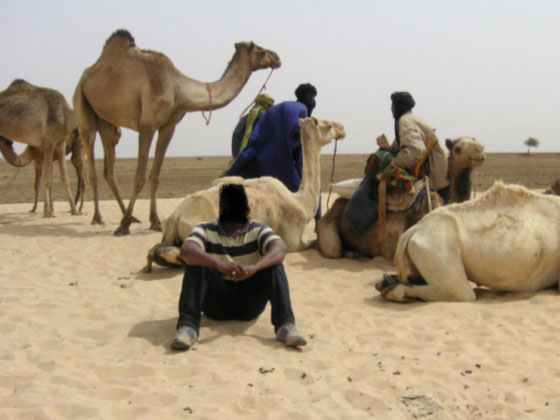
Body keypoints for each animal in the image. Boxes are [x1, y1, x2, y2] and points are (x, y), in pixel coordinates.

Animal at [0, 79, 80, 217]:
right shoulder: (49, 140)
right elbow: (46, 179)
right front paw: (47, 212)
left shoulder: (60, 142)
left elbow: (65, 178)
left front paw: (74, 210)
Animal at [74, 28, 282, 236]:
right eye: (262, 51)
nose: (277, 58)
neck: (178, 89)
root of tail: (87, 74)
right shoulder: (147, 125)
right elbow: (139, 177)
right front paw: (123, 226)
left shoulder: (169, 126)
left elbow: (155, 176)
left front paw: (155, 221)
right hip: (82, 107)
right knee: (91, 157)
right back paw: (99, 218)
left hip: (107, 122)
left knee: (109, 169)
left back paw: (130, 217)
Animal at [143, 116, 346, 272]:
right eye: (327, 124)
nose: (342, 128)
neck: (300, 200)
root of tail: (176, 217)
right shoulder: (293, 239)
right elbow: (313, 243)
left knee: (158, 250)